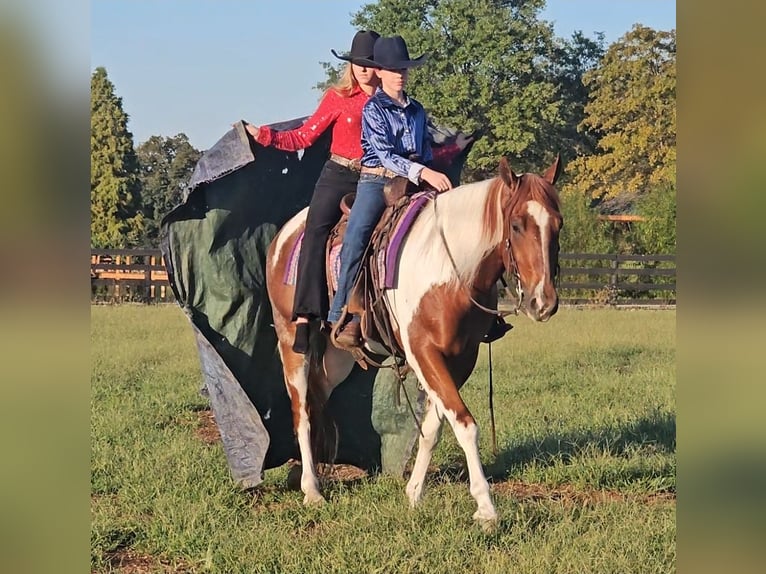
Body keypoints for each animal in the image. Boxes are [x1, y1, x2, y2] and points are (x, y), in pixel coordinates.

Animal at [265, 155, 563, 525]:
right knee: (302, 410)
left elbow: (435, 427)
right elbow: (465, 424)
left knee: (319, 399)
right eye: (518, 225)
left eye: (558, 224)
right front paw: (486, 507)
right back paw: (312, 491)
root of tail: (282, 238)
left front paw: (414, 493)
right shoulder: (423, 352)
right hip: (292, 342)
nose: (543, 302)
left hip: (337, 357)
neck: (450, 268)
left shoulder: (461, 358)